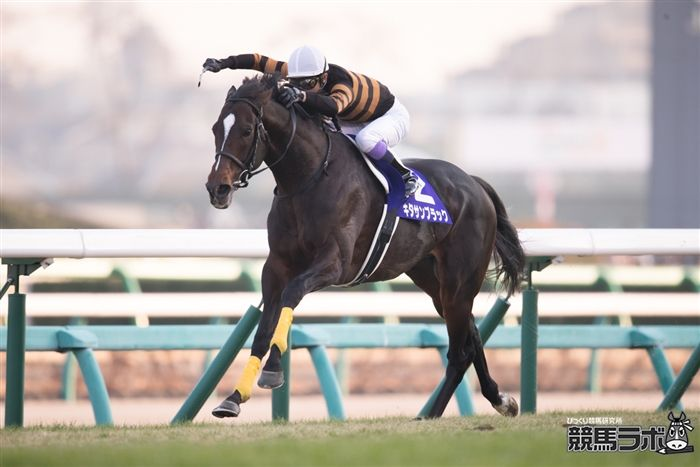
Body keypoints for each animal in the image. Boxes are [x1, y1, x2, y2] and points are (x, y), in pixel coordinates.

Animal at [204, 74, 525, 419]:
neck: (308, 178)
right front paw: (233, 398)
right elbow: (263, 329)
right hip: (432, 279)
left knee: (458, 352)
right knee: (471, 335)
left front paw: (273, 370)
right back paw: (501, 399)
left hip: (459, 281)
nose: (217, 188)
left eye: (246, 130)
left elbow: (292, 295)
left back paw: (431, 414)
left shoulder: (334, 264)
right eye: (215, 128)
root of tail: (474, 183)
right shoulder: (276, 266)